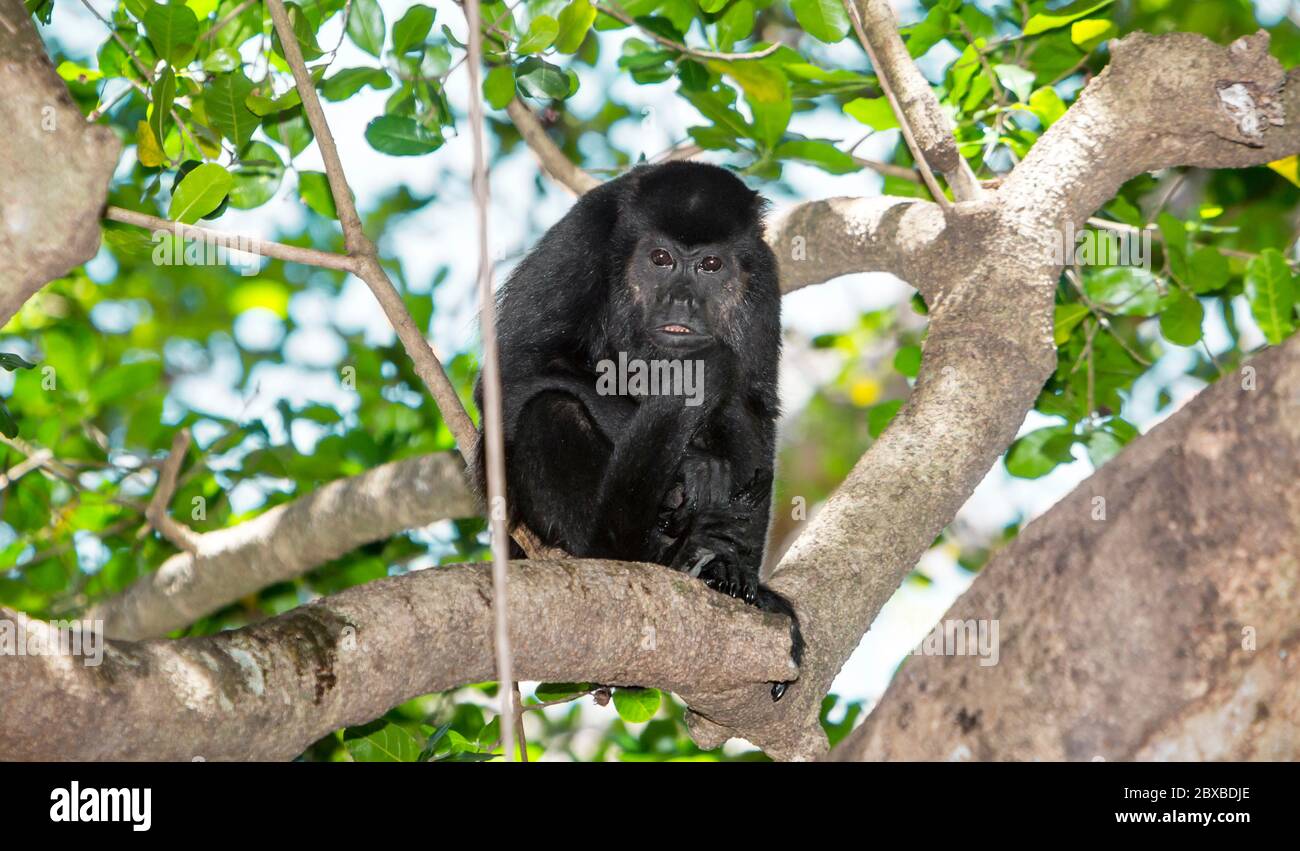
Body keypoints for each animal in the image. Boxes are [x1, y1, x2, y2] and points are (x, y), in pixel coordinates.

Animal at [474, 161, 801, 700]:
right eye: (661, 258)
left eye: (711, 265)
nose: (682, 301)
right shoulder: (580, 237)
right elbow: (516, 370)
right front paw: (695, 466)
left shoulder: (763, 275)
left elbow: (755, 409)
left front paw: (743, 580)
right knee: (552, 408)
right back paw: (640, 552)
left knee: (733, 408)